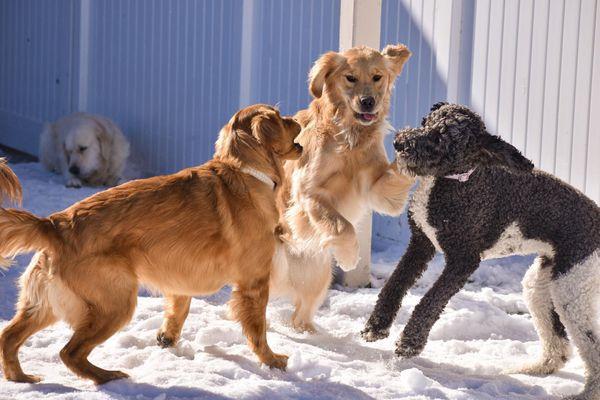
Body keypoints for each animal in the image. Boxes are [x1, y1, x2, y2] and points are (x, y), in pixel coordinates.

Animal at [0, 104, 300, 384]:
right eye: (280, 117)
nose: (297, 118)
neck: (246, 171)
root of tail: (55, 224)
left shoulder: (182, 276)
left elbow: (179, 309)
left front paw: (167, 337)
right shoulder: (254, 283)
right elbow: (258, 329)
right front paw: (271, 360)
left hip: (44, 307)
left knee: (8, 337)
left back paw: (20, 377)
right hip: (116, 302)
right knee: (69, 352)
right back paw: (108, 376)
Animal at [360, 103, 600, 400]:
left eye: (443, 138)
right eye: (426, 122)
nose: (400, 143)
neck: (455, 182)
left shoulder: (464, 260)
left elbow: (430, 302)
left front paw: (409, 343)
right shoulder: (421, 243)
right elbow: (394, 284)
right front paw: (376, 326)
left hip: (572, 287)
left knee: (589, 344)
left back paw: (586, 393)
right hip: (542, 283)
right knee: (557, 343)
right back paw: (533, 370)